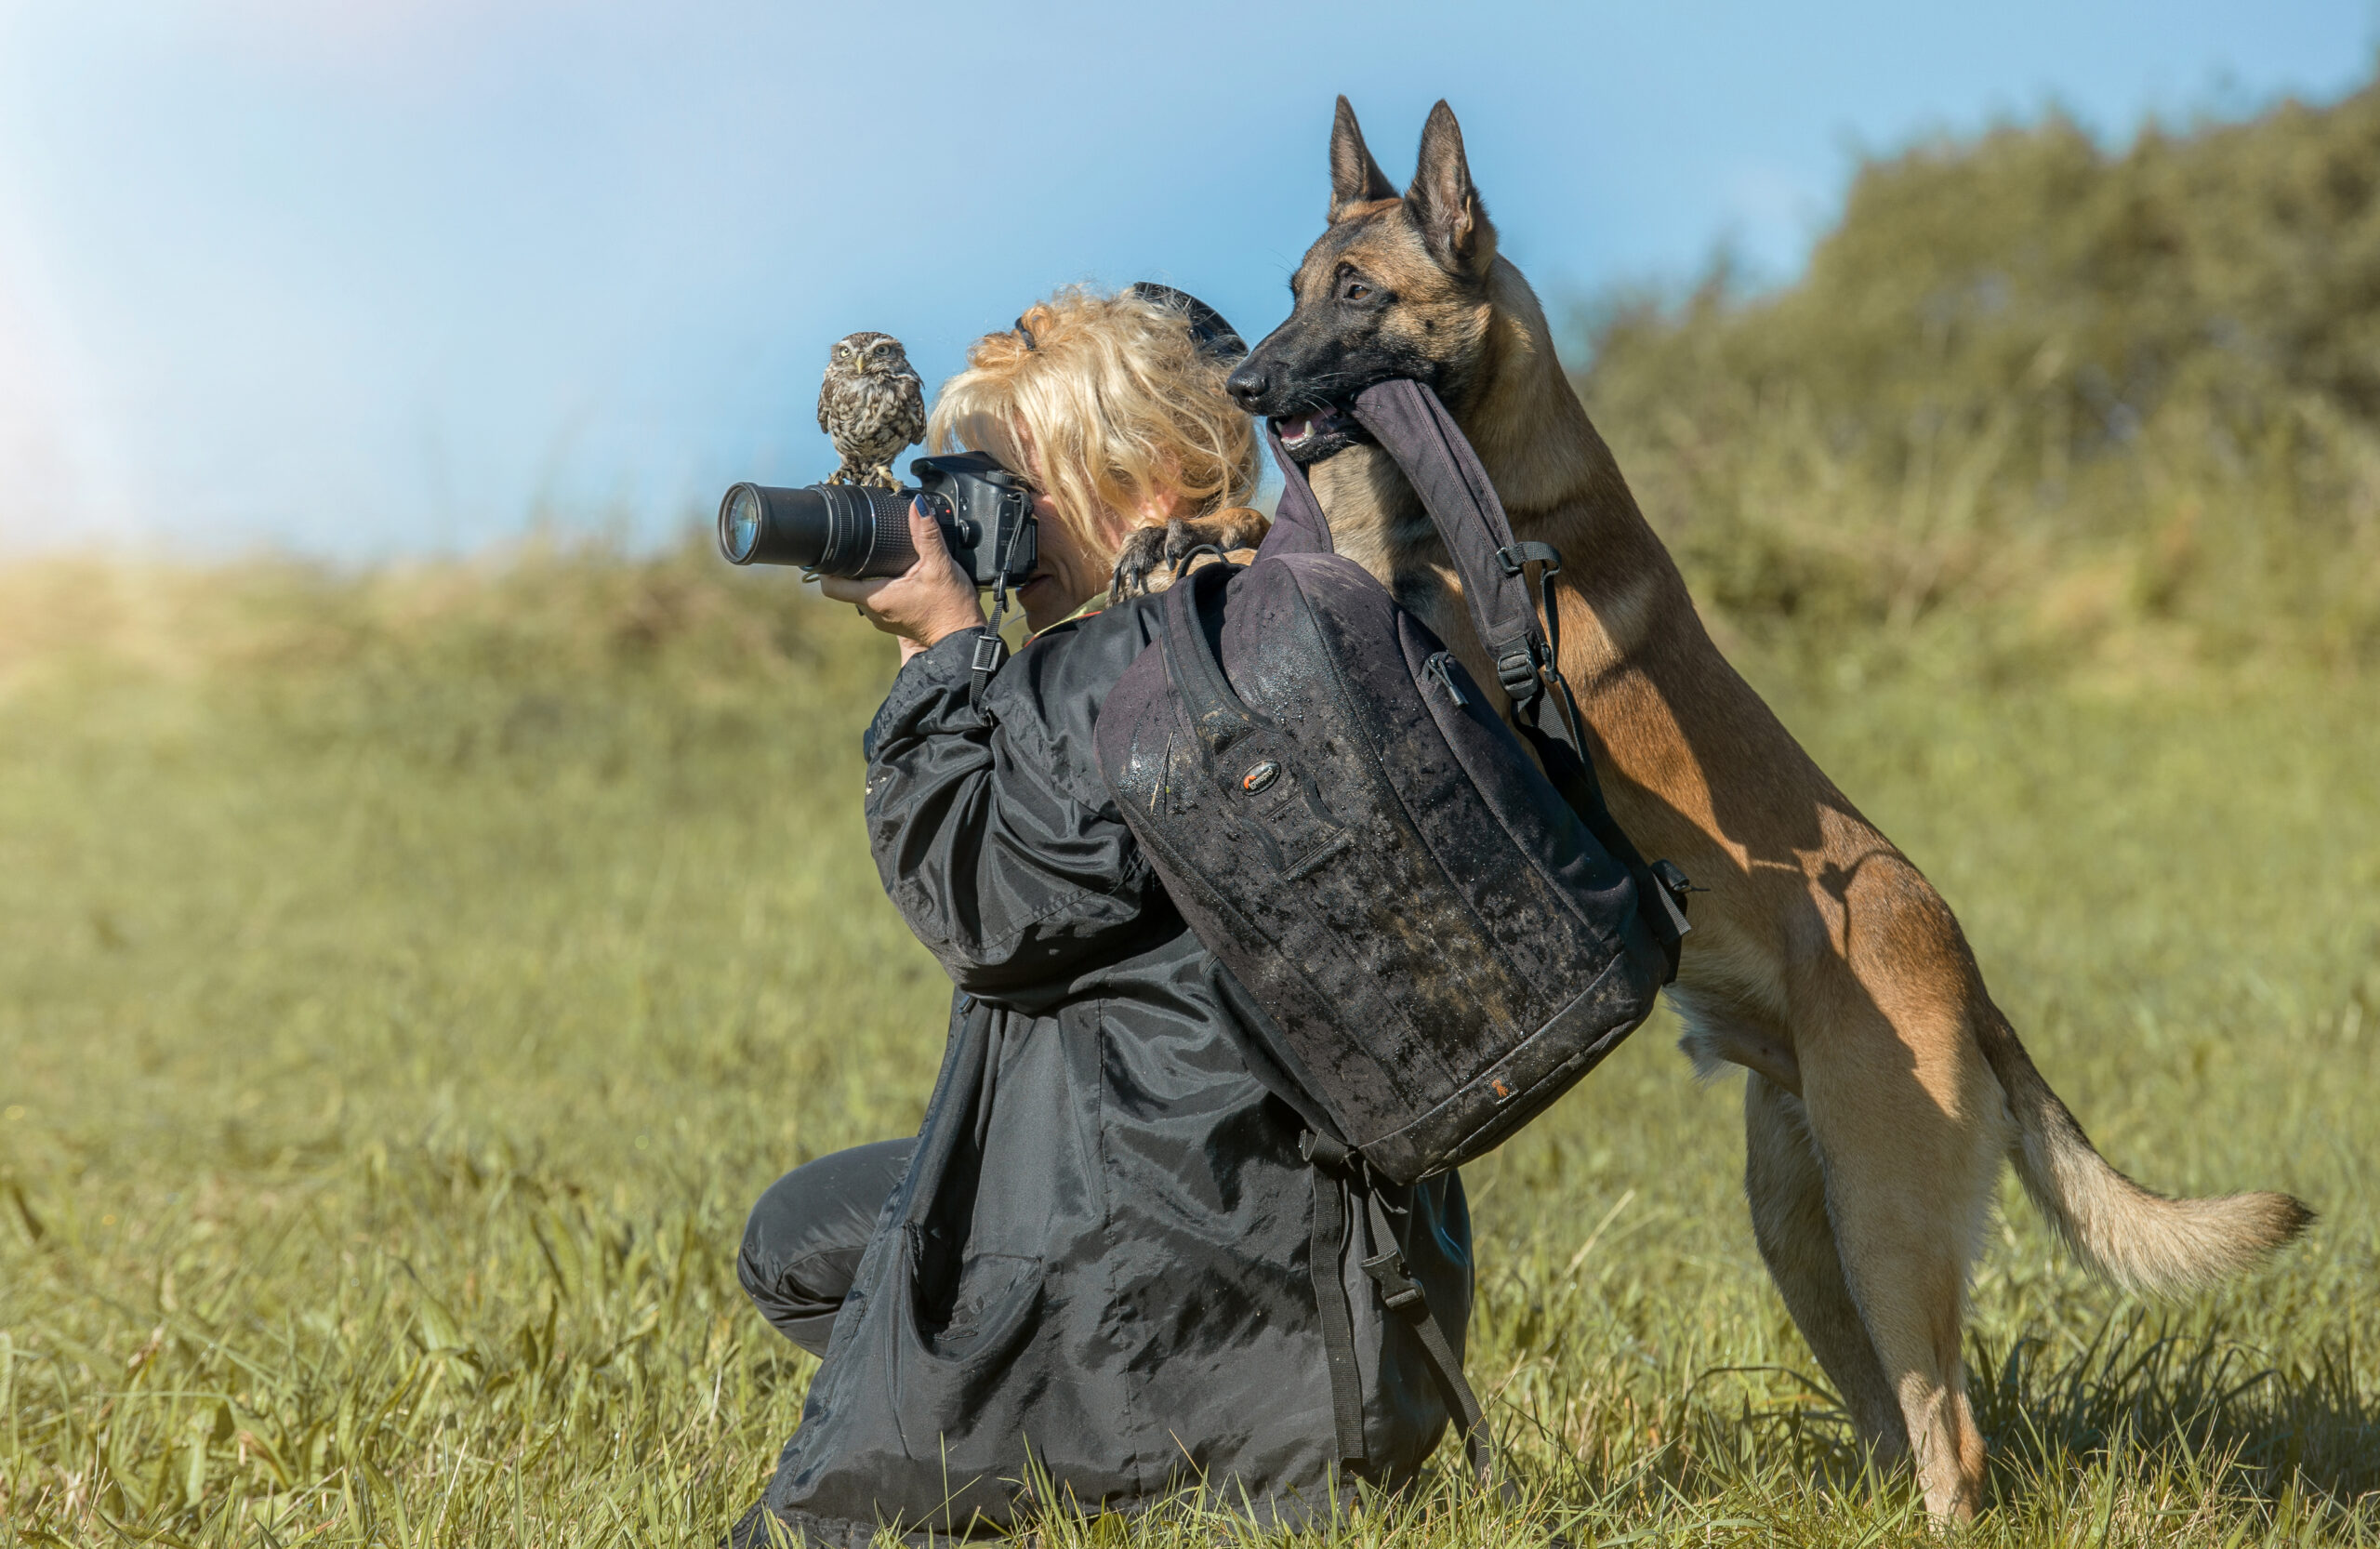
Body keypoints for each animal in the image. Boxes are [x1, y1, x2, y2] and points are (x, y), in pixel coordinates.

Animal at [1218, 99, 2313, 1522]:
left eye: (1359, 291)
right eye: (1296, 288)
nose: (1244, 387)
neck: (1492, 463)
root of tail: (1968, 978)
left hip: (1884, 1225)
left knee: (1951, 1433)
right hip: (1804, 1234)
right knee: (1894, 1419)